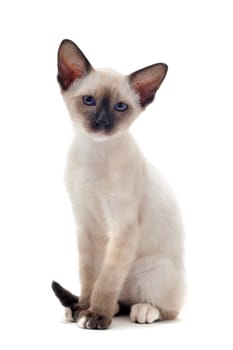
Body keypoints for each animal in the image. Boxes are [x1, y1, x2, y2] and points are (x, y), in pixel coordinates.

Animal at [52, 39, 186, 330]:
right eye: (89, 101)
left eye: (120, 107)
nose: (102, 123)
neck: (95, 152)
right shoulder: (85, 226)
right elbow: (90, 278)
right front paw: (83, 308)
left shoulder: (122, 228)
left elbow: (107, 281)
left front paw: (95, 316)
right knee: (119, 300)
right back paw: (89, 308)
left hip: (156, 268)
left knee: (167, 309)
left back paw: (143, 310)